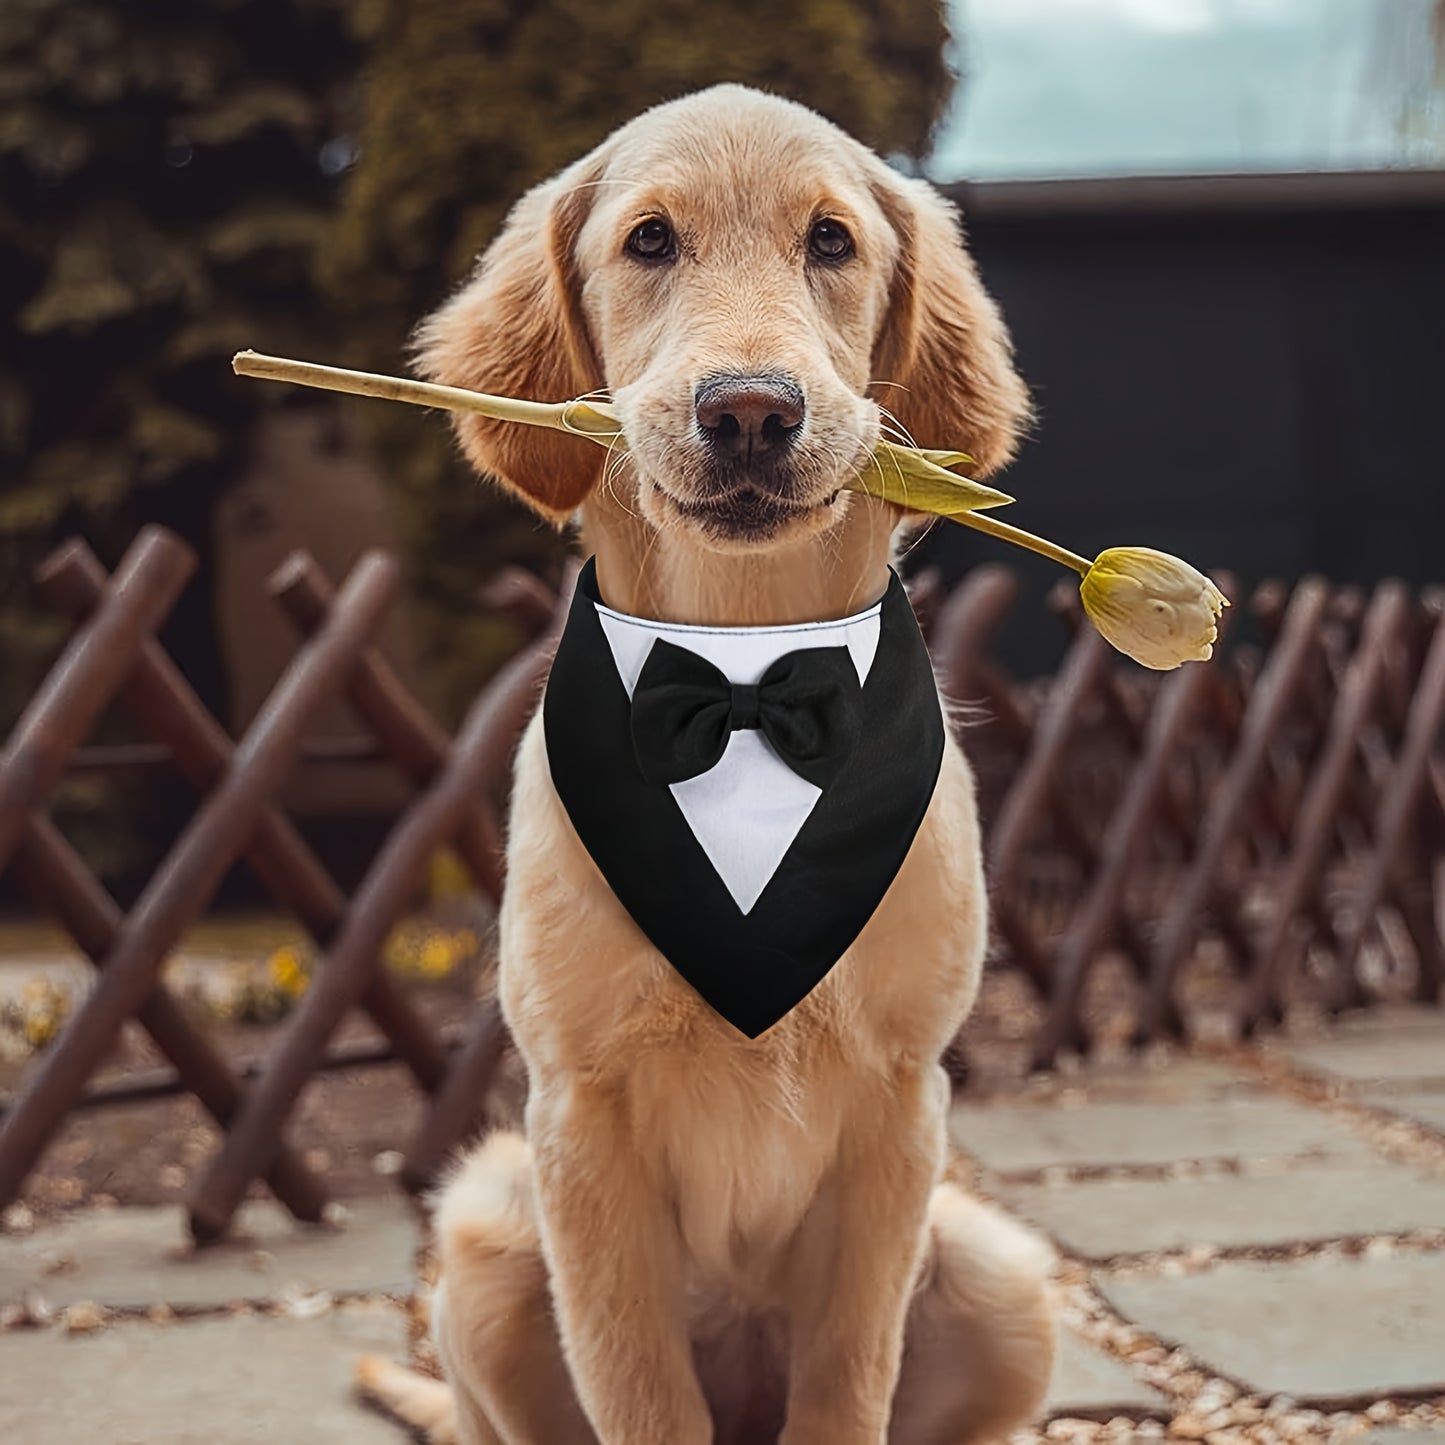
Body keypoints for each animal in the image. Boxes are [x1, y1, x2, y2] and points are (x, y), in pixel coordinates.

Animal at [361, 87, 1057, 1445]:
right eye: (649, 241)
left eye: (831, 241)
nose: (748, 410)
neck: (743, 674)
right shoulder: (578, 1115)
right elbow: (639, 1390)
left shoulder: (901, 1104)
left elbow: (846, 1378)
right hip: (484, 1233)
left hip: (1001, 1276)